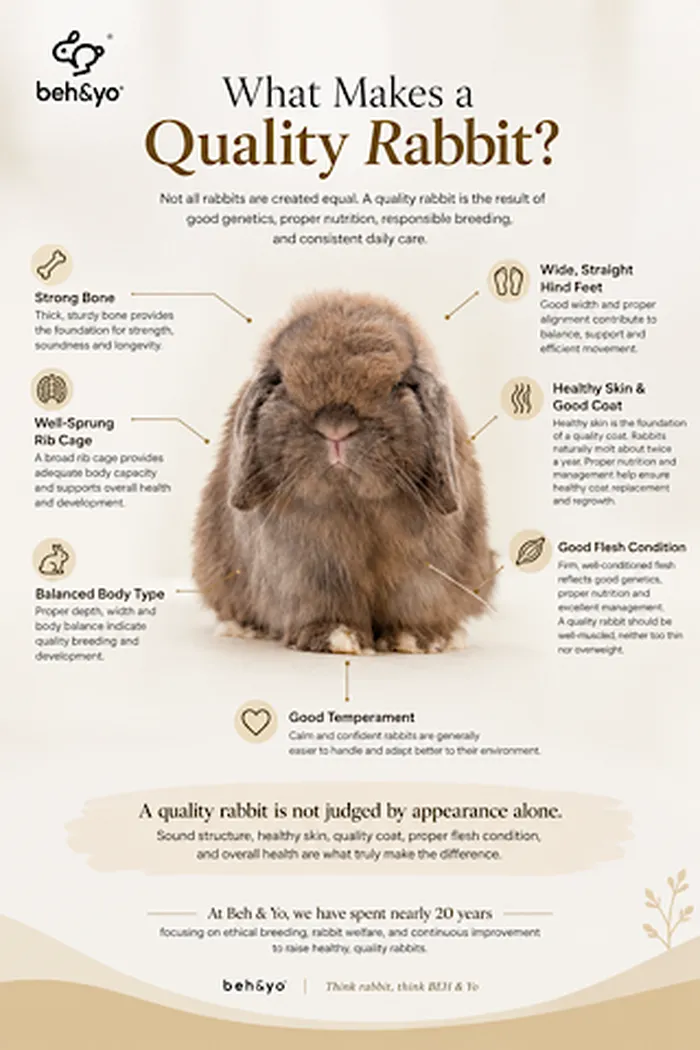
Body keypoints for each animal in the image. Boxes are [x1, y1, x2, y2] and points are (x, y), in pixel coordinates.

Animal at [193, 291, 496, 654]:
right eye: (284, 382)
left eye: (397, 384)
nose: (336, 427)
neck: (352, 503)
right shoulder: (309, 566)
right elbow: (323, 600)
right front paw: (336, 636)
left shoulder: (425, 568)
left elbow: (417, 600)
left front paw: (418, 639)